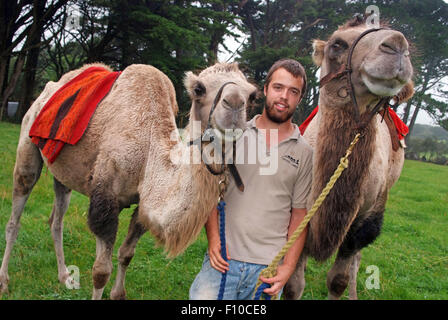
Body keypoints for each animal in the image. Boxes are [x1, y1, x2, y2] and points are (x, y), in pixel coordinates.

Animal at [0, 62, 258, 300]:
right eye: (198, 89)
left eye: (252, 95)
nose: (235, 103)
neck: (149, 148)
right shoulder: (105, 197)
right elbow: (101, 271)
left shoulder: (142, 207)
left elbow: (126, 254)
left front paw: (117, 293)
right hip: (28, 144)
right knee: (16, 215)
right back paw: (4, 280)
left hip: (62, 173)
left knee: (56, 219)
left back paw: (65, 276)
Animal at [286, 16, 414, 300]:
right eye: (337, 44)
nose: (398, 46)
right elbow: (292, 285)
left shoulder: (366, 217)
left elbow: (338, 280)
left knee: (356, 260)